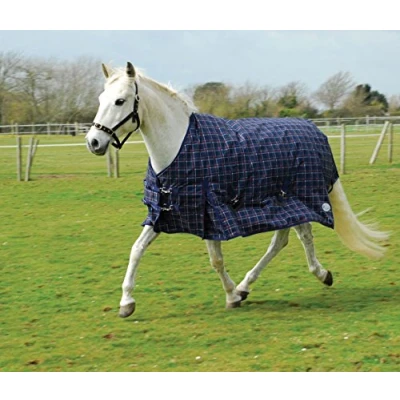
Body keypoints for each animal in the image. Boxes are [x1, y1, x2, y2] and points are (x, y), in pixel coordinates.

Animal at [85, 62, 389, 318]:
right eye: (100, 100)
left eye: (120, 101)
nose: (93, 142)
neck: (179, 147)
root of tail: (315, 130)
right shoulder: (166, 212)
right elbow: (137, 249)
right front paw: (126, 303)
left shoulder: (209, 213)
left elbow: (216, 260)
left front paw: (231, 296)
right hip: (285, 204)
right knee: (282, 240)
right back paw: (248, 285)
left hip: (298, 199)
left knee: (303, 237)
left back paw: (318, 274)